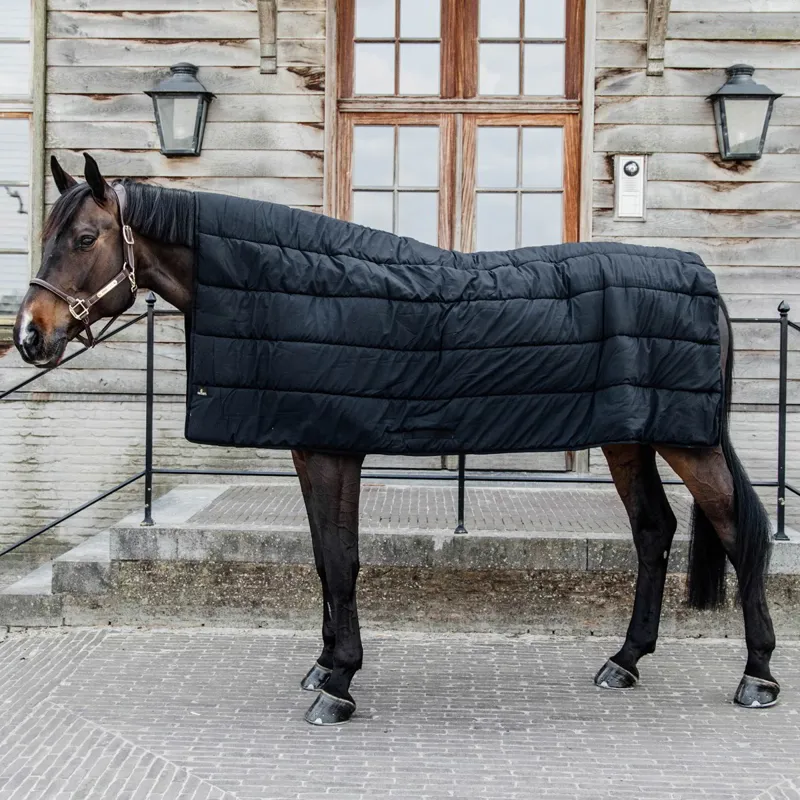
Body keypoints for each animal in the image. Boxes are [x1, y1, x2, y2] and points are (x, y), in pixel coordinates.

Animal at [13, 154, 779, 725]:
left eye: (85, 239)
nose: (28, 335)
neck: (291, 284)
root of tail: (703, 280)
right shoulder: (312, 443)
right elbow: (324, 559)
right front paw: (324, 665)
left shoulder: (332, 449)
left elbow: (341, 560)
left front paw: (338, 685)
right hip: (631, 438)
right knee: (654, 530)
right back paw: (624, 661)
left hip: (690, 442)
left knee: (739, 531)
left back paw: (759, 676)